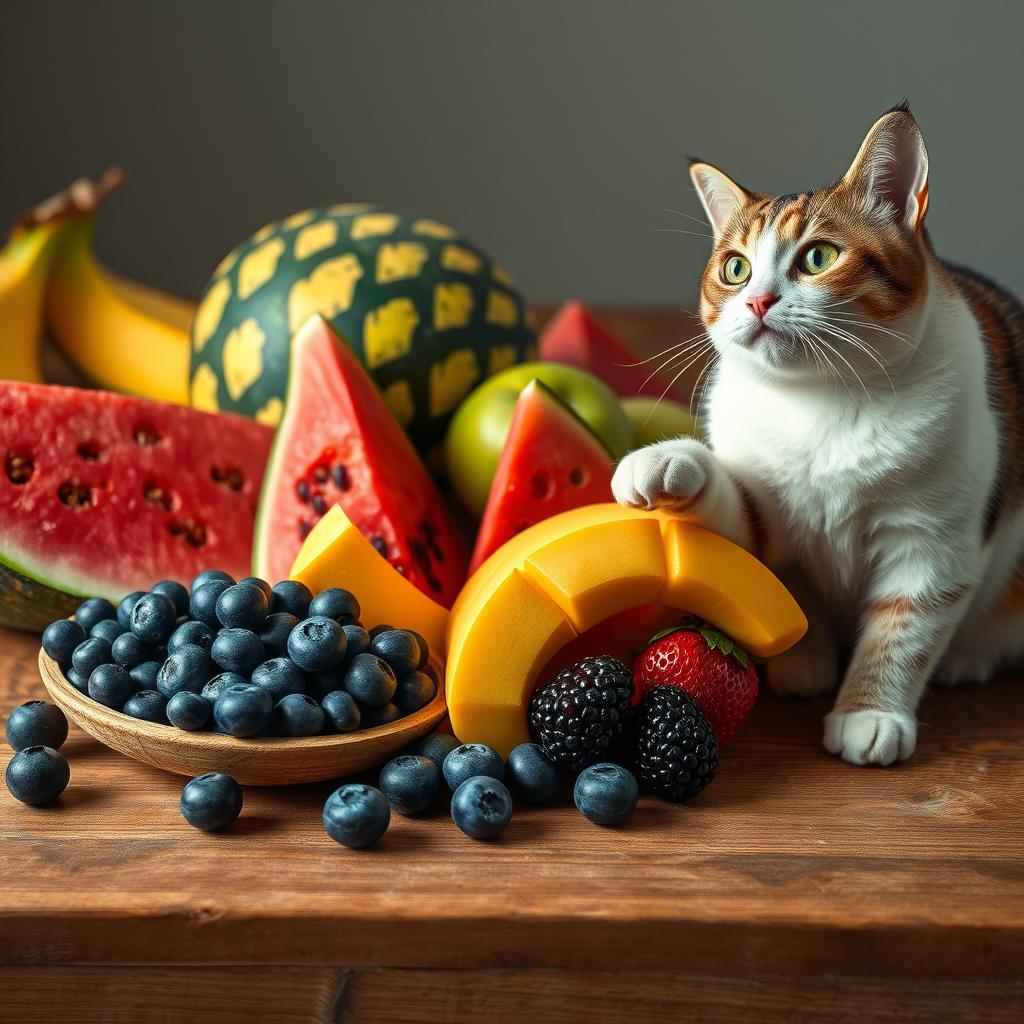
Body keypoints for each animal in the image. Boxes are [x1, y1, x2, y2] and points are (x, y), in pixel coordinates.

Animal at [610, 103, 1024, 770]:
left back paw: (968, 656)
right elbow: (739, 518)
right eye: (735, 268)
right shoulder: (764, 516)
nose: (757, 301)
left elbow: (903, 631)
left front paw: (870, 712)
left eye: (819, 257)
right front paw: (666, 462)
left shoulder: (933, 544)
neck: (823, 402)